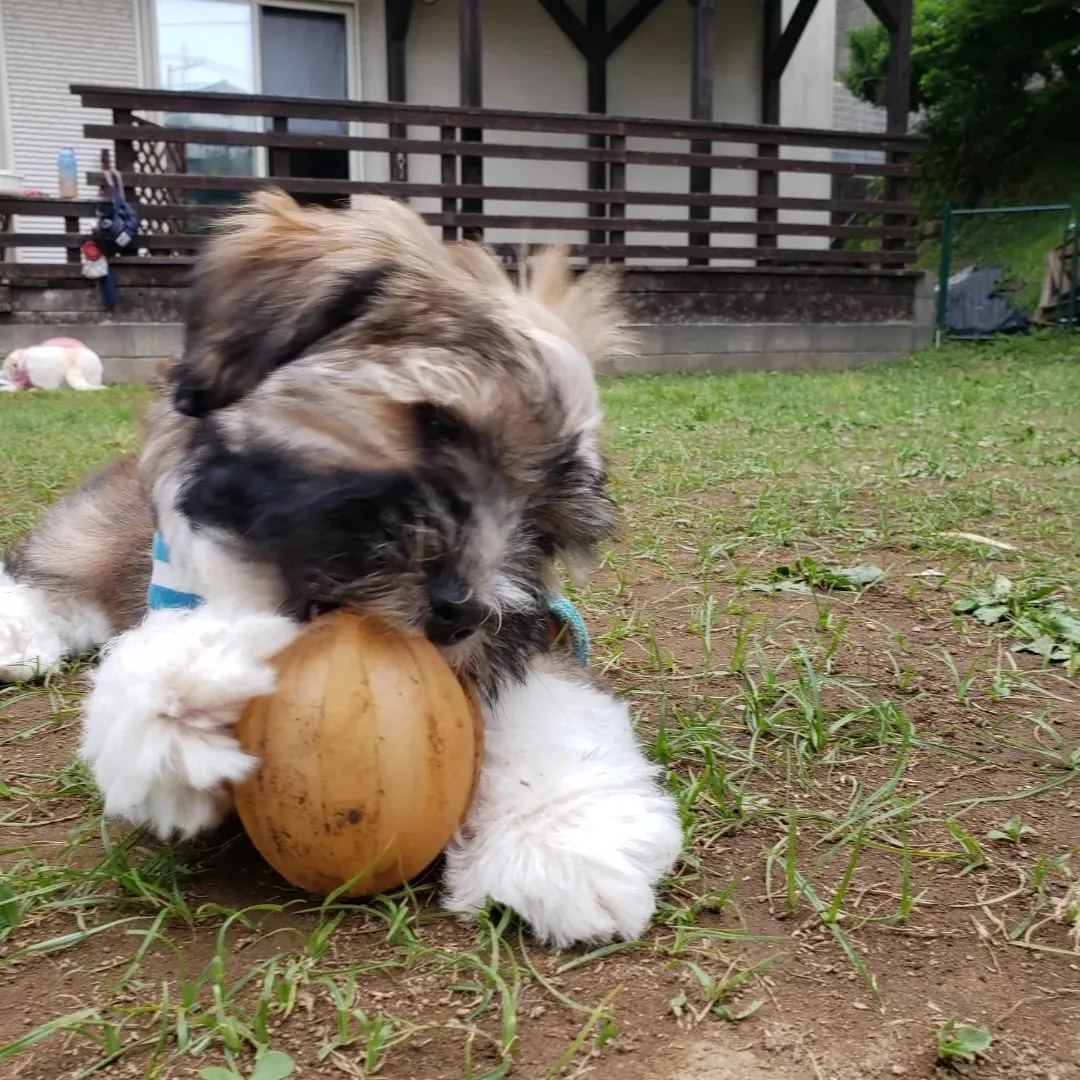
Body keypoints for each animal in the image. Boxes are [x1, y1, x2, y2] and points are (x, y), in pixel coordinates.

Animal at [0, 192, 682, 946]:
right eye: (438, 427)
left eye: (541, 528)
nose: (461, 610)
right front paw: (191, 690)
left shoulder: (523, 638)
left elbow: (552, 706)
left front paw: (560, 836)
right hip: (91, 534)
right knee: (51, 576)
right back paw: (19, 636)